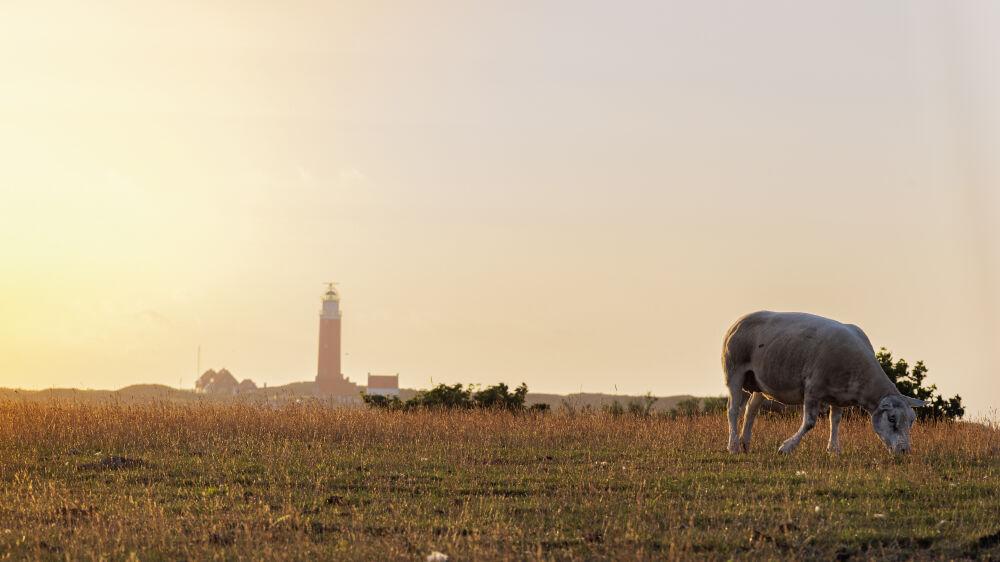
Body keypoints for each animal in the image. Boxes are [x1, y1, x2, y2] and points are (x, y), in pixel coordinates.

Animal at [720, 308, 928, 452]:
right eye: (892, 418)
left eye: (912, 420)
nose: (904, 450)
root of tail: (738, 321)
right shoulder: (813, 389)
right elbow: (810, 422)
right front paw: (786, 447)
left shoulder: (840, 395)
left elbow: (835, 420)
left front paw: (834, 449)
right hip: (734, 370)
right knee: (733, 410)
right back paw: (733, 446)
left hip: (759, 383)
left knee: (750, 410)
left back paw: (745, 444)